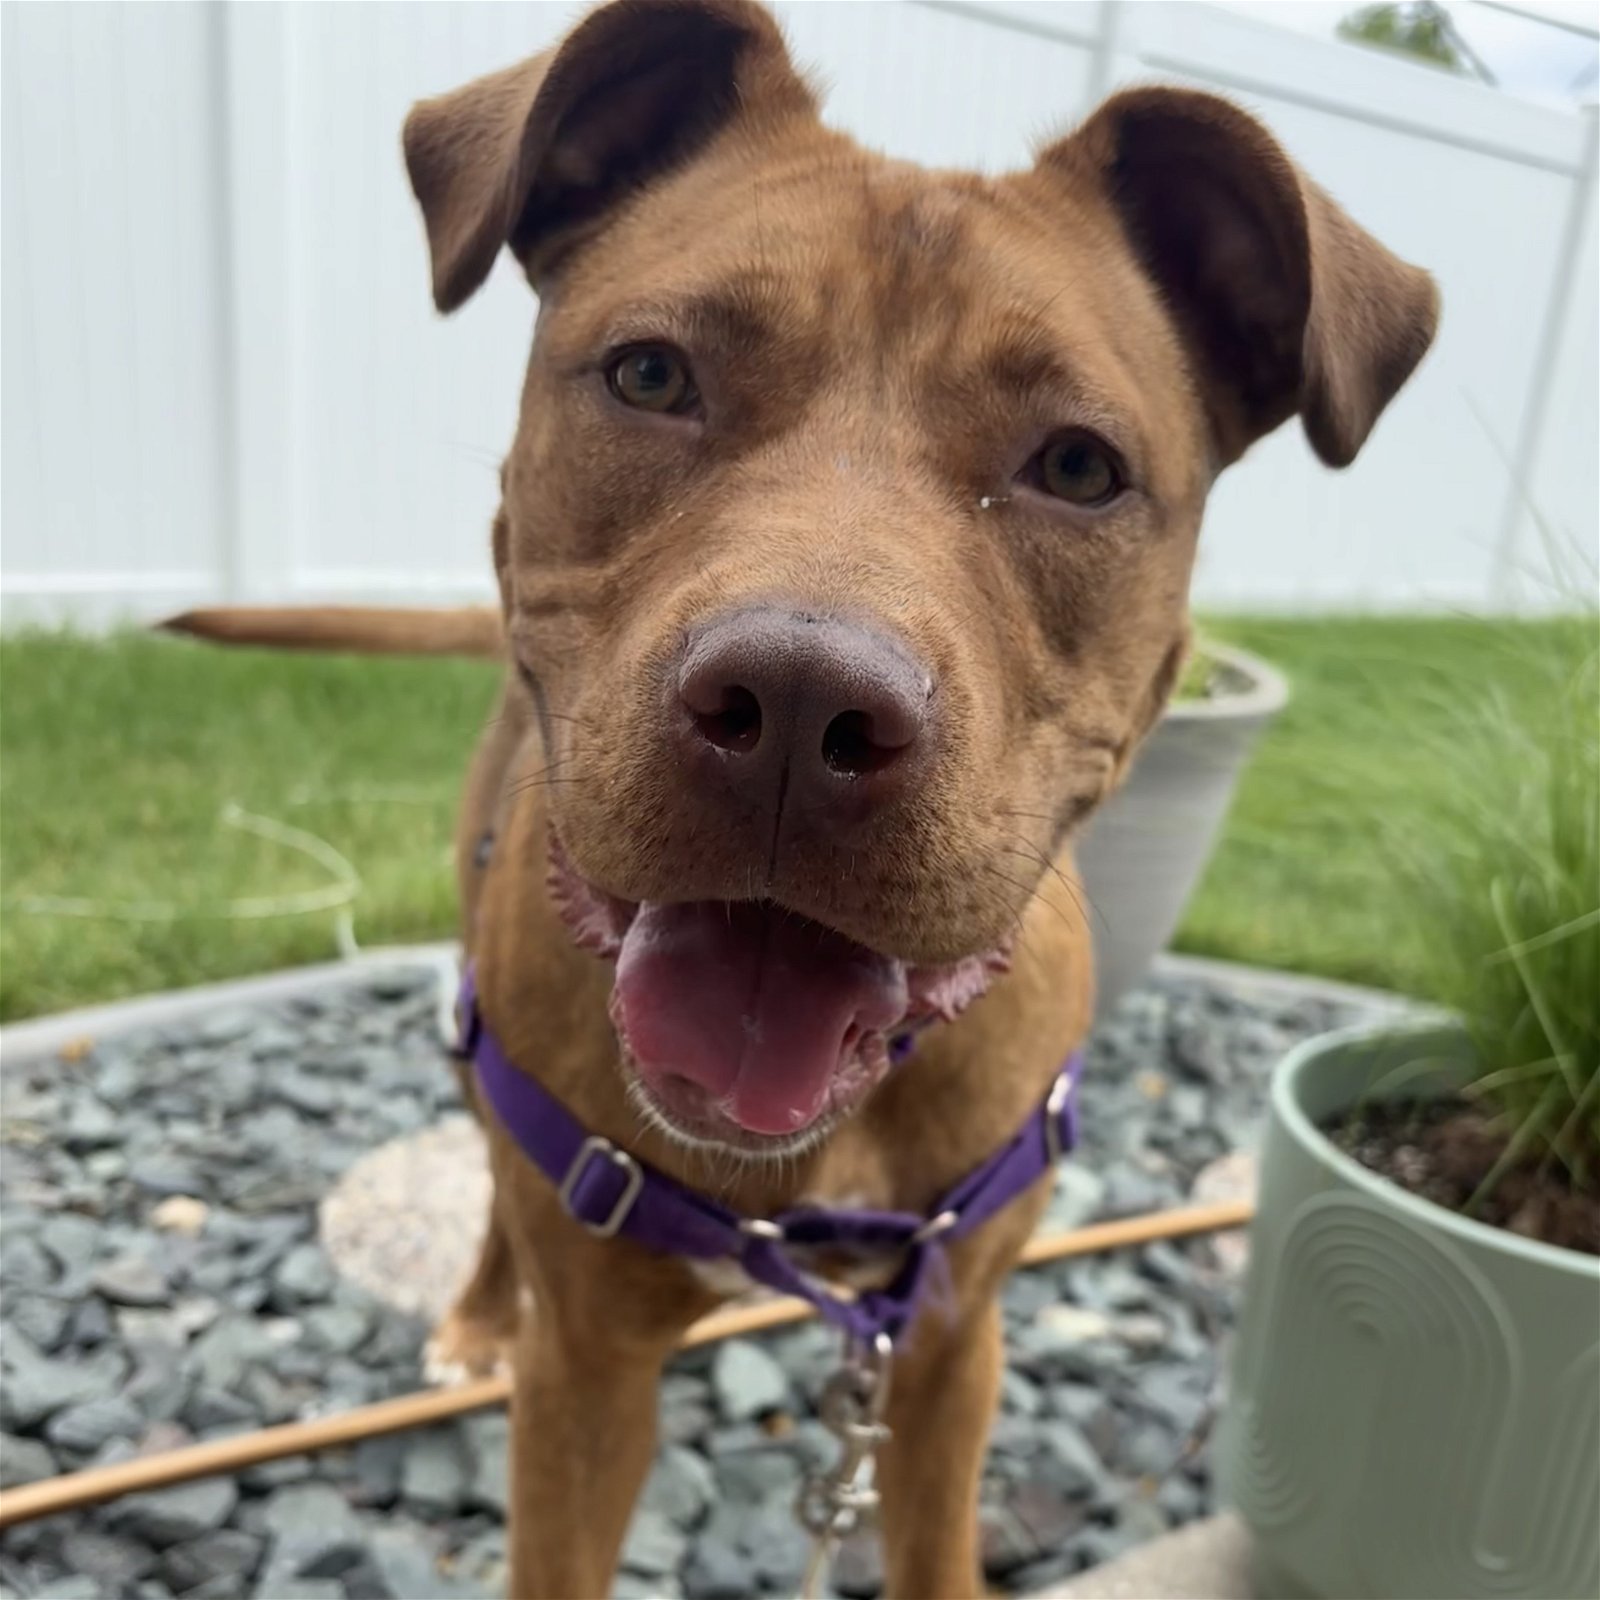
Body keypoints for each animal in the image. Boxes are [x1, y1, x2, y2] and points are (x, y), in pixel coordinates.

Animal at [165, 6, 1440, 1593]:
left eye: (1079, 465)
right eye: (652, 375)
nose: (794, 707)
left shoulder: (945, 1344)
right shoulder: (585, 1376)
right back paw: (469, 1314)